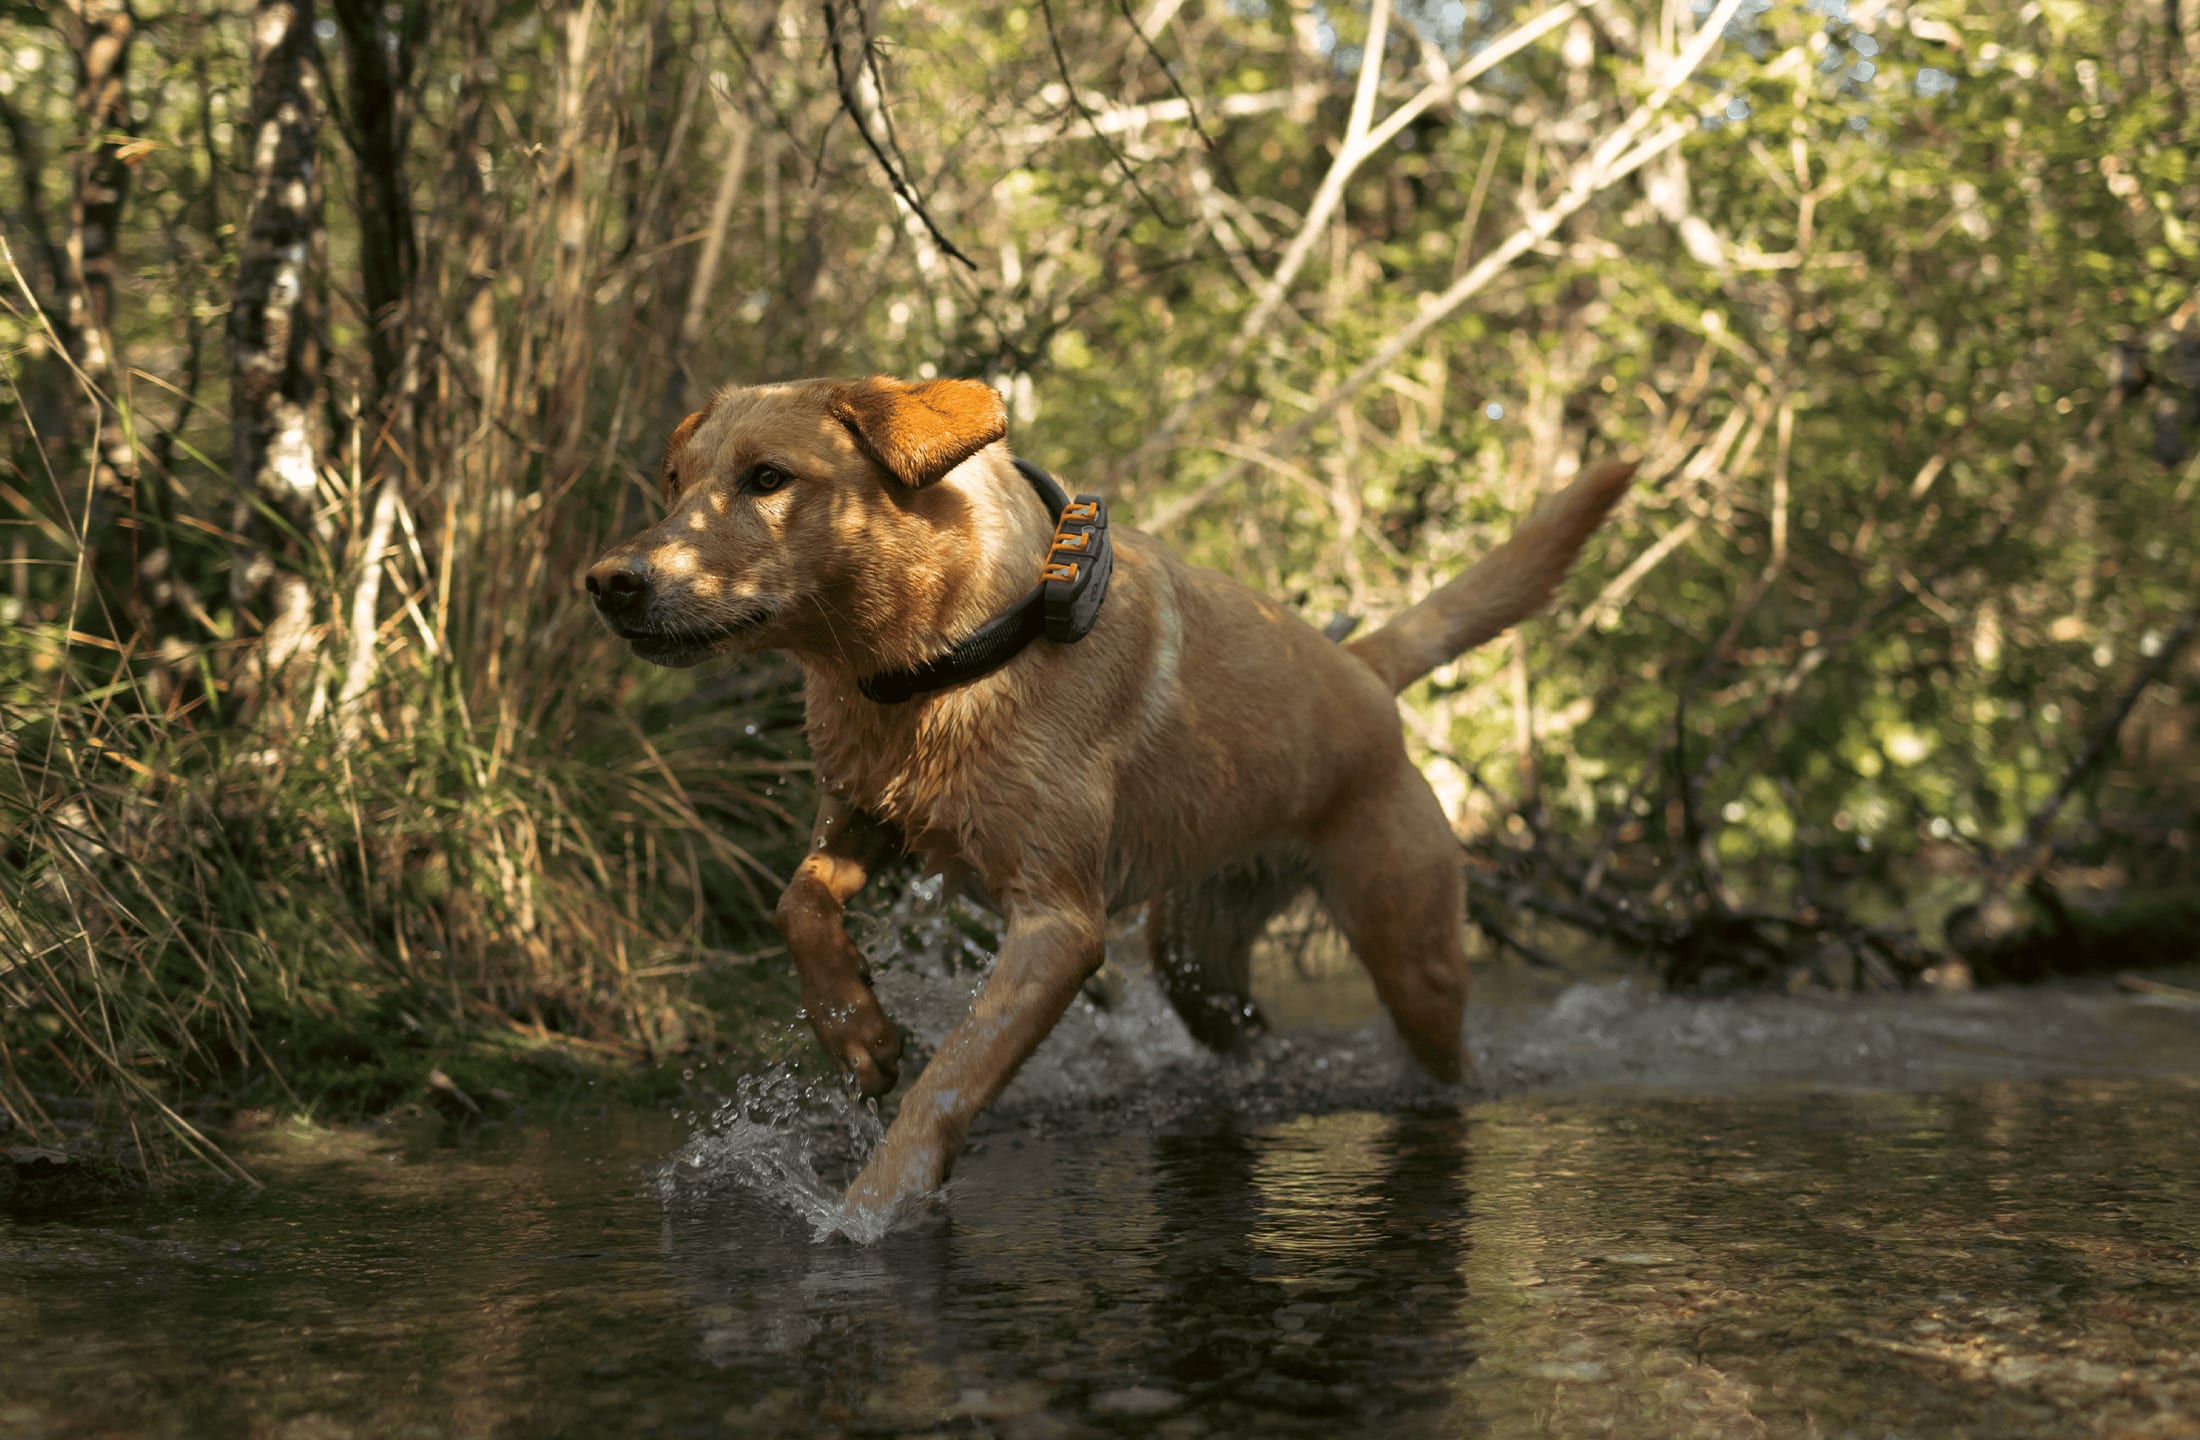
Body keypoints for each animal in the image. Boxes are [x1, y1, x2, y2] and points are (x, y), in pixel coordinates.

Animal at [585, 378, 1636, 1213]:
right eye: (674, 484)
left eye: (768, 478)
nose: (608, 583)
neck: (935, 663)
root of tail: (1362, 667)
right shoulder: (863, 817)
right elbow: (796, 902)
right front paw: (858, 1036)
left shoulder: (1058, 925)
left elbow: (949, 1081)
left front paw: (871, 1213)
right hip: (1196, 956)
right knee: (1244, 1030)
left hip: (1413, 957)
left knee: (1446, 1055)